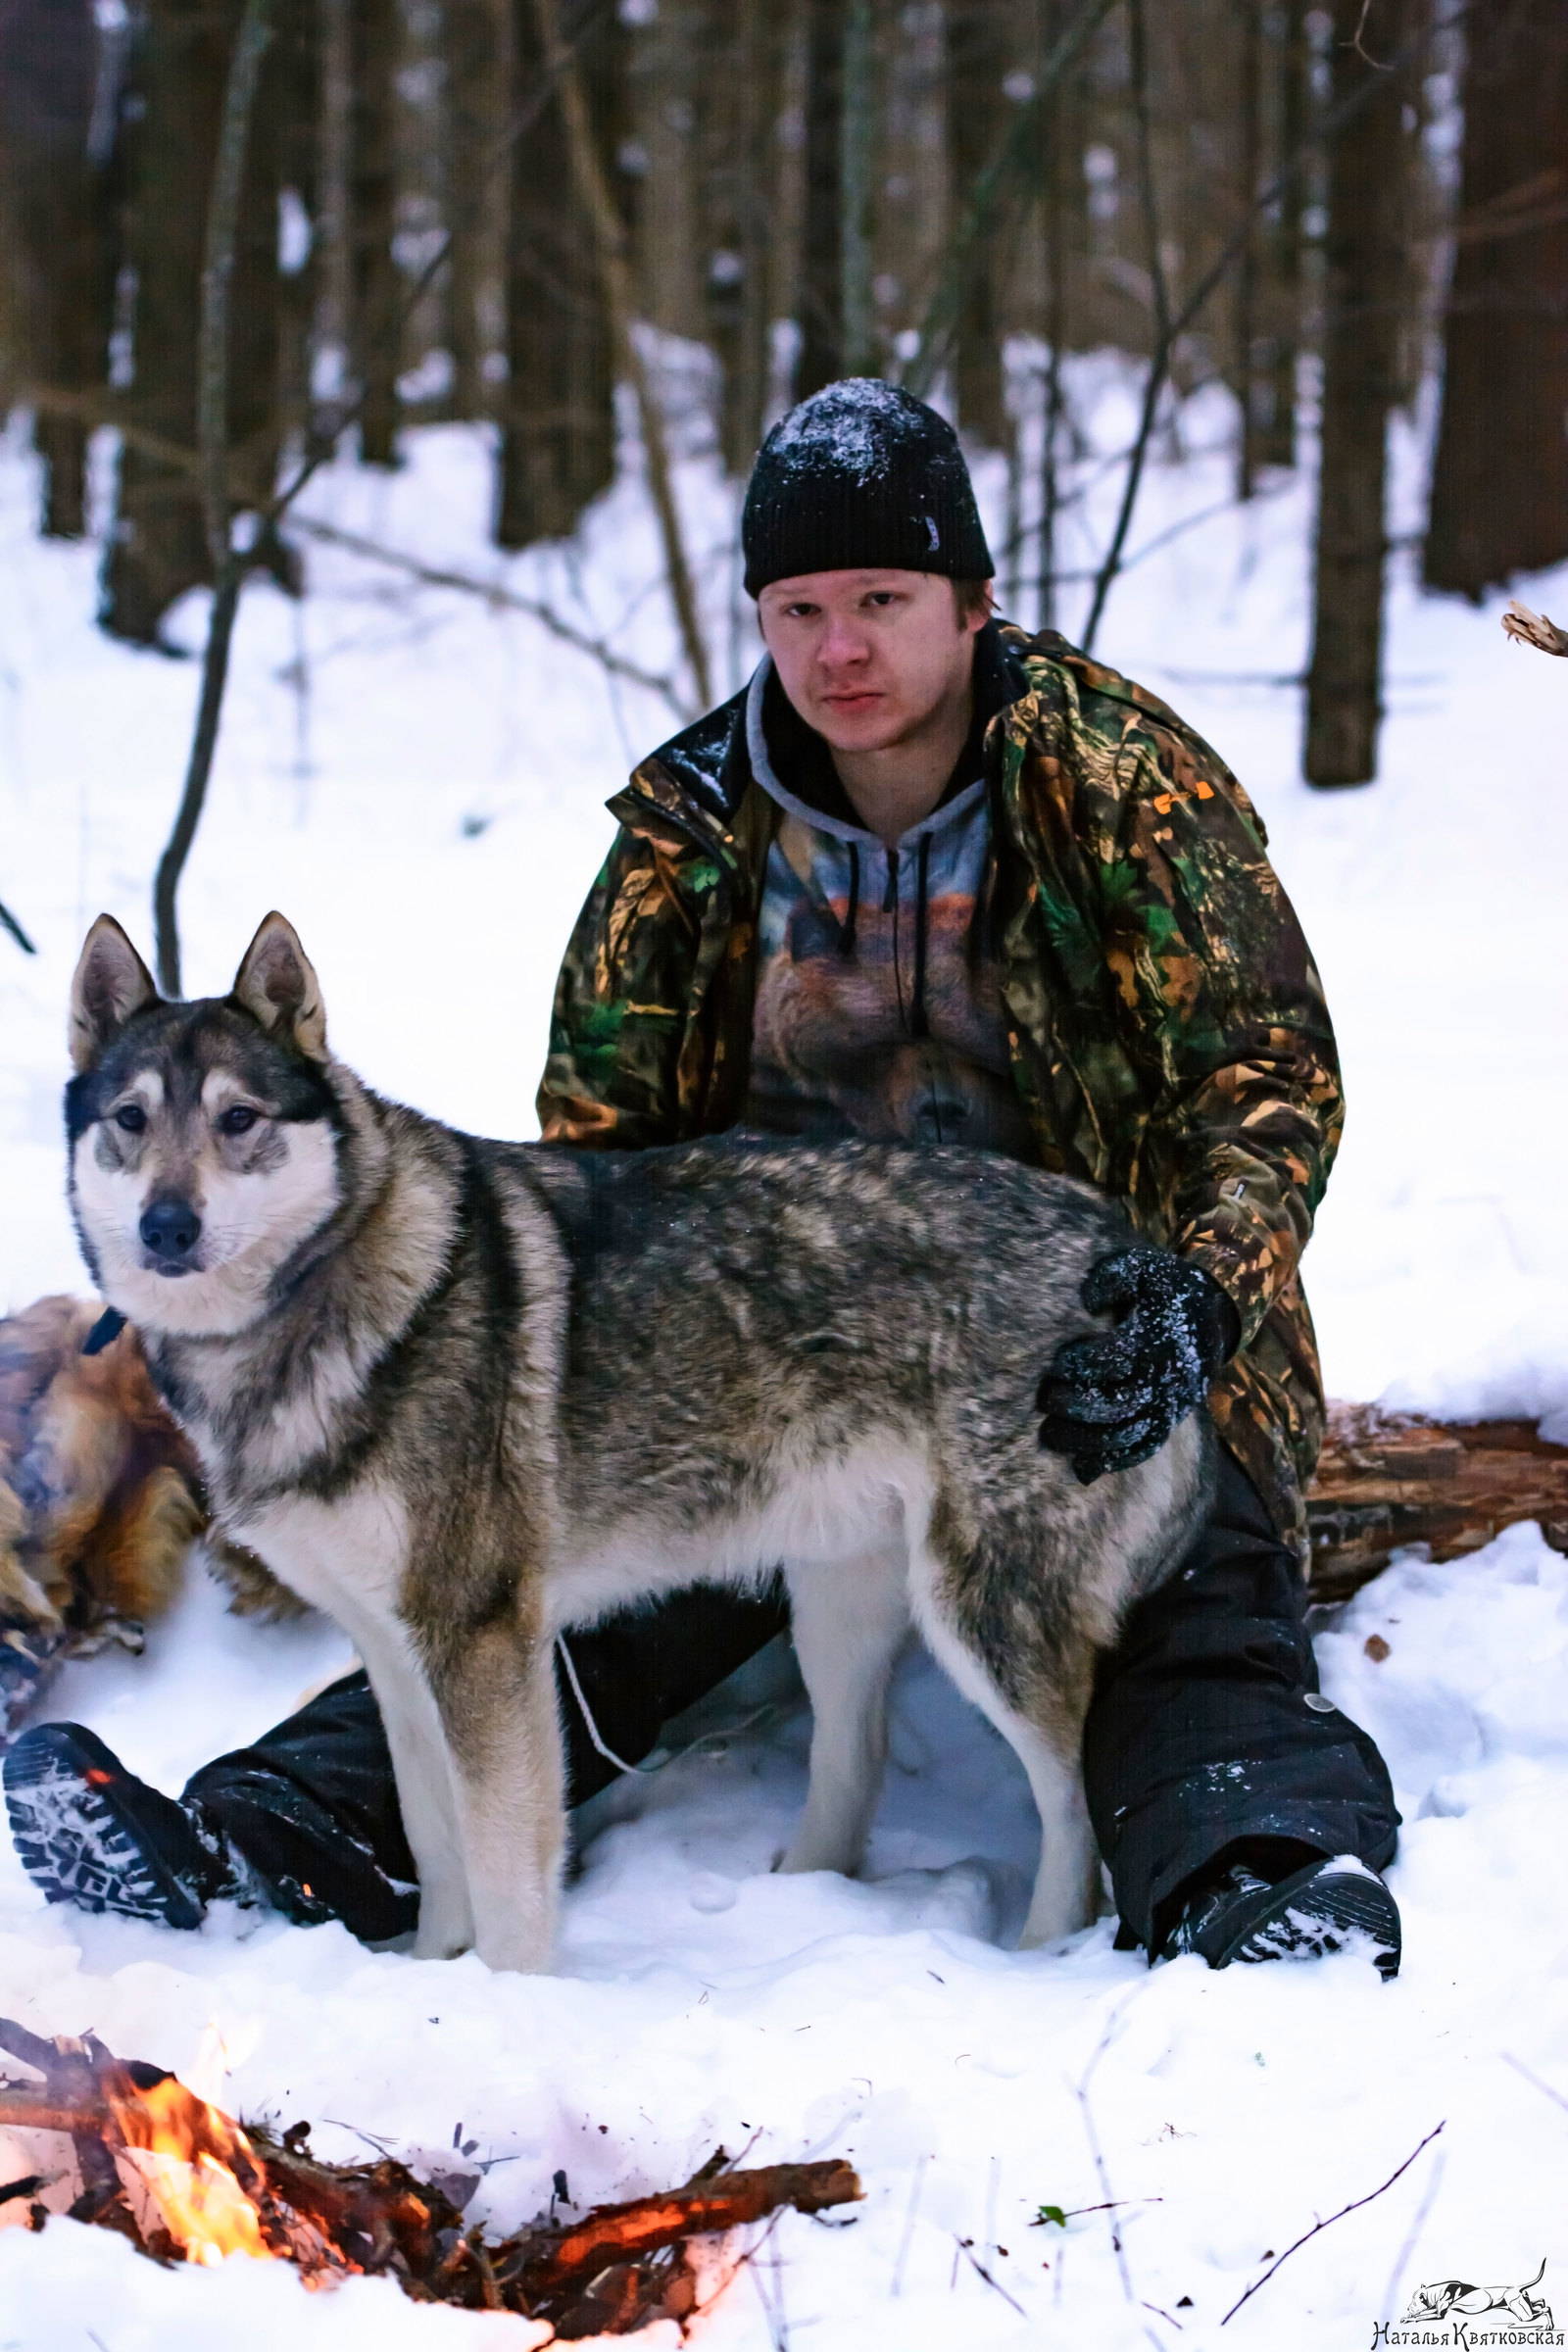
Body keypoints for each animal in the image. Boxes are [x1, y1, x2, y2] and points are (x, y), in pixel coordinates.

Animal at [64, 907, 1212, 1976]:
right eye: (129, 1121)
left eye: (239, 1119)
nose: (167, 1225)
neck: (314, 1309)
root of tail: (1126, 1245)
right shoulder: (396, 1653)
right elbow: (436, 1847)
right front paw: (432, 1975)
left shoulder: (484, 1645)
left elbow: (507, 1870)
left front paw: (505, 2001)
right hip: (836, 1602)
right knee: (859, 1759)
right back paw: (794, 1906)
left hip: (982, 1619)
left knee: (1071, 1809)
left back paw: (1038, 1951)